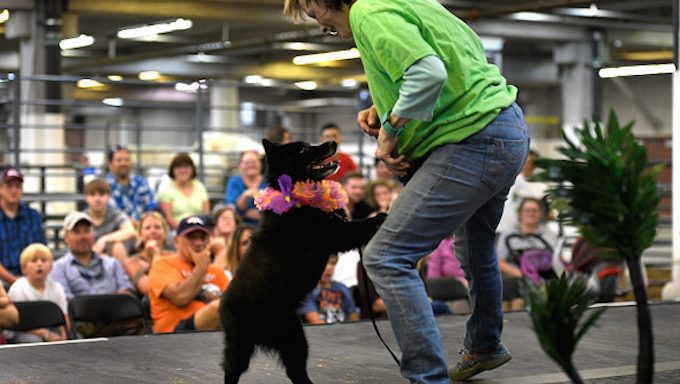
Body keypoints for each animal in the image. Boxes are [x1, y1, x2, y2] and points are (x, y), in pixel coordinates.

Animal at [220, 139, 386, 384]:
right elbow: (360, 227)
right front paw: (381, 216)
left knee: (296, 372)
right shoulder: (336, 235)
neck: (298, 201)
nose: (333, 142)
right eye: (303, 149)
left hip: (295, 340)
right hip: (240, 346)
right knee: (232, 371)